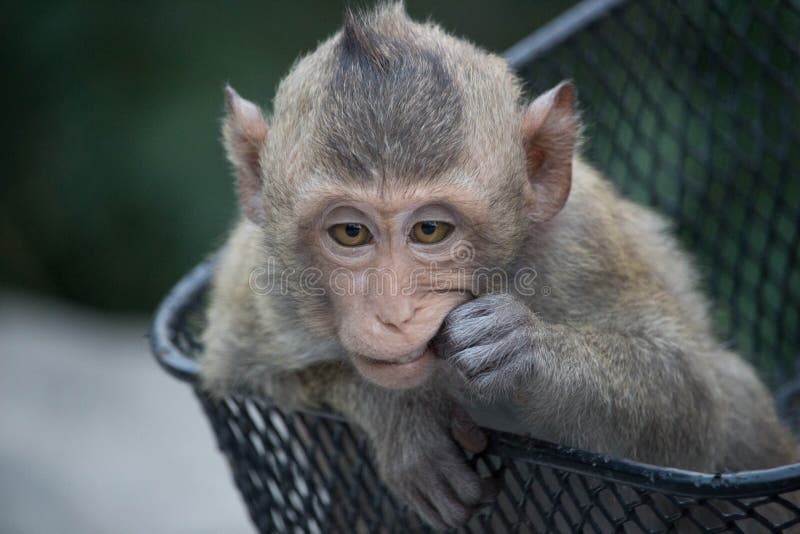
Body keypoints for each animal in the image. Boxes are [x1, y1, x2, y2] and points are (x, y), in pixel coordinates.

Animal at [198, 4, 792, 532]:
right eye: (351, 233)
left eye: (430, 230)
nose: (395, 314)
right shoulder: (264, 285)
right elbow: (233, 369)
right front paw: (401, 420)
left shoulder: (581, 244)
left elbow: (696, 397)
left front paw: (524, 351)